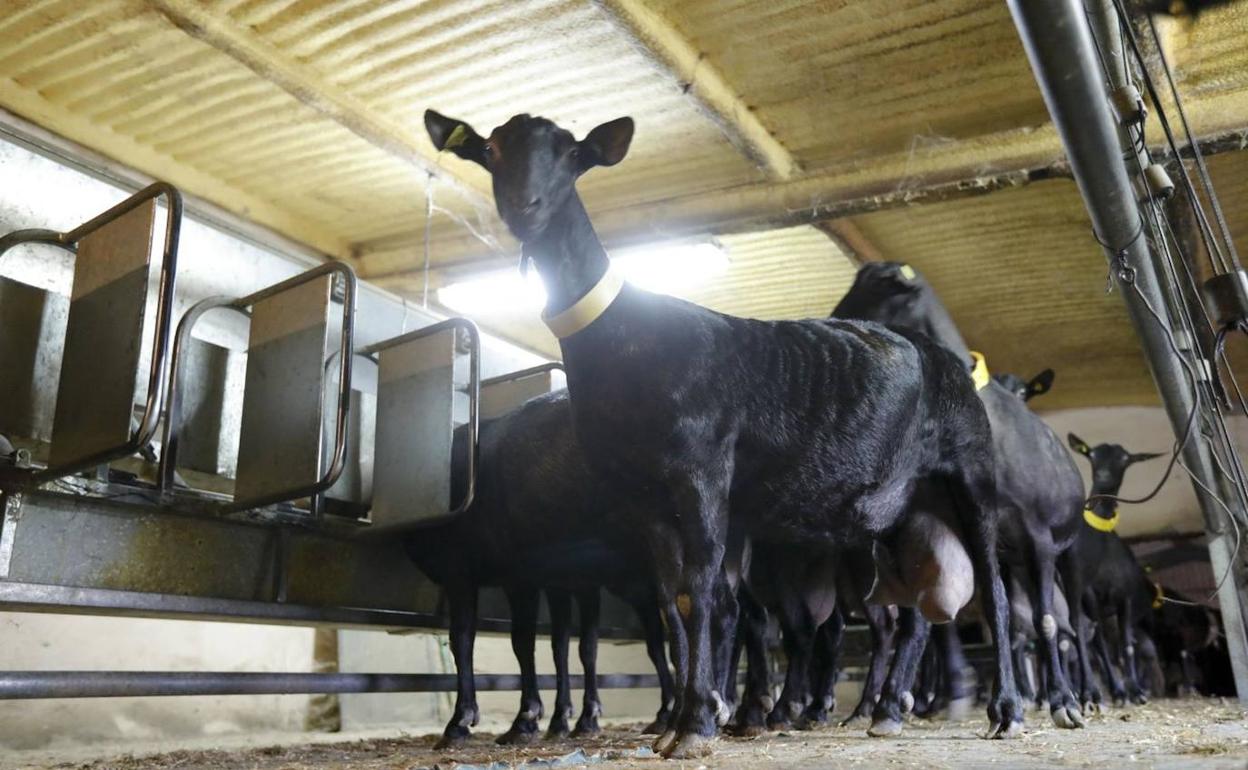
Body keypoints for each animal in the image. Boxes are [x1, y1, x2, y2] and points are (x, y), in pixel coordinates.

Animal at [404, 389, 673, 743]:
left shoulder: (483, 573)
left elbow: (488, 640)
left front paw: (491, 718)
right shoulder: (561, 582)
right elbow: (566, 646)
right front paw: (567, 718)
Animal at [833, 264, 1088, 728]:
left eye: (881, 285)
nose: (835, 321)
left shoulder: (1038, 537)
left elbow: (1044, 621)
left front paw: (1063, 702)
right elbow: (946, 615)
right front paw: (938, 697)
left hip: (1063, 554)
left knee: (1069, 623)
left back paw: (1082, 695)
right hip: (1010, 559)